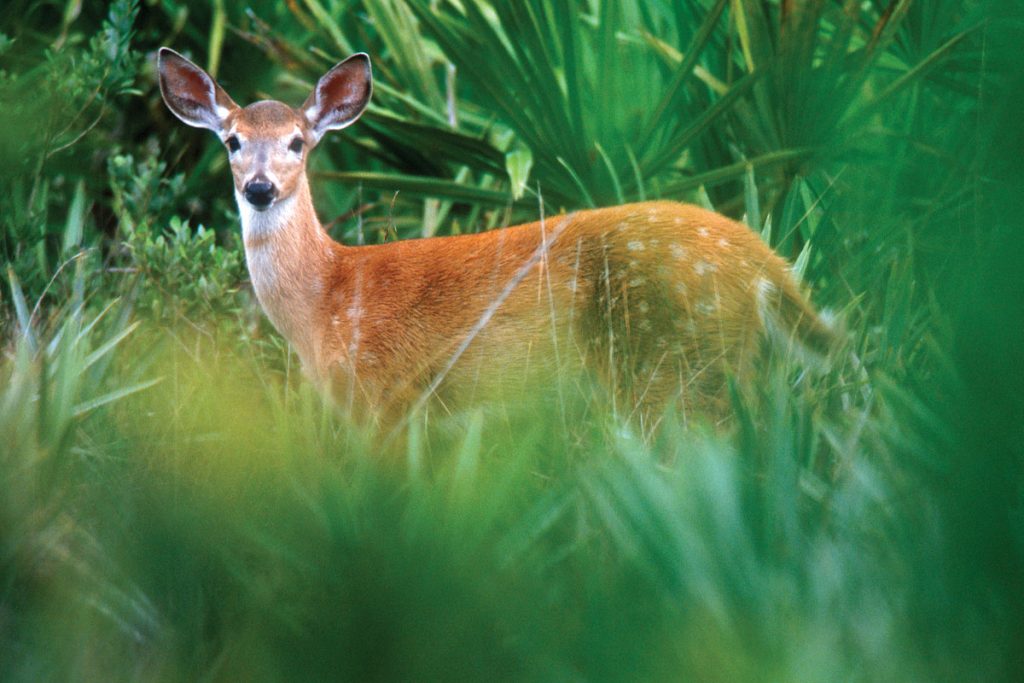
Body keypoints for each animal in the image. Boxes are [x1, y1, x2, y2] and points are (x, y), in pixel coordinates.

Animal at [159, 48, 831, 432]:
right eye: (232, 141)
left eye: (298, 142)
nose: (260, 188)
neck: (324, 300)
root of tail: (764, 263)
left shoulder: (384, 394)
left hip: (670, 362)